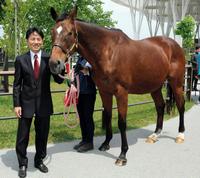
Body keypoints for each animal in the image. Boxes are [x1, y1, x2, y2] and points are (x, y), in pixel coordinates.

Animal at [48, 6, 186, 166]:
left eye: (70, 33)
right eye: (52, 31)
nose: (54, 64)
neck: (109, 53)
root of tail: (174, 44)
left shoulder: (121, 93)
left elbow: (121, 122)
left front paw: (122, 155)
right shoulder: (104, 92)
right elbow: (108, 116)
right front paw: (105, 144)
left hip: (176, 83)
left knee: (181, 105)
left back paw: (180, 135)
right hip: (155, 86)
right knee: (160, 106)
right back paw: (155, 135)